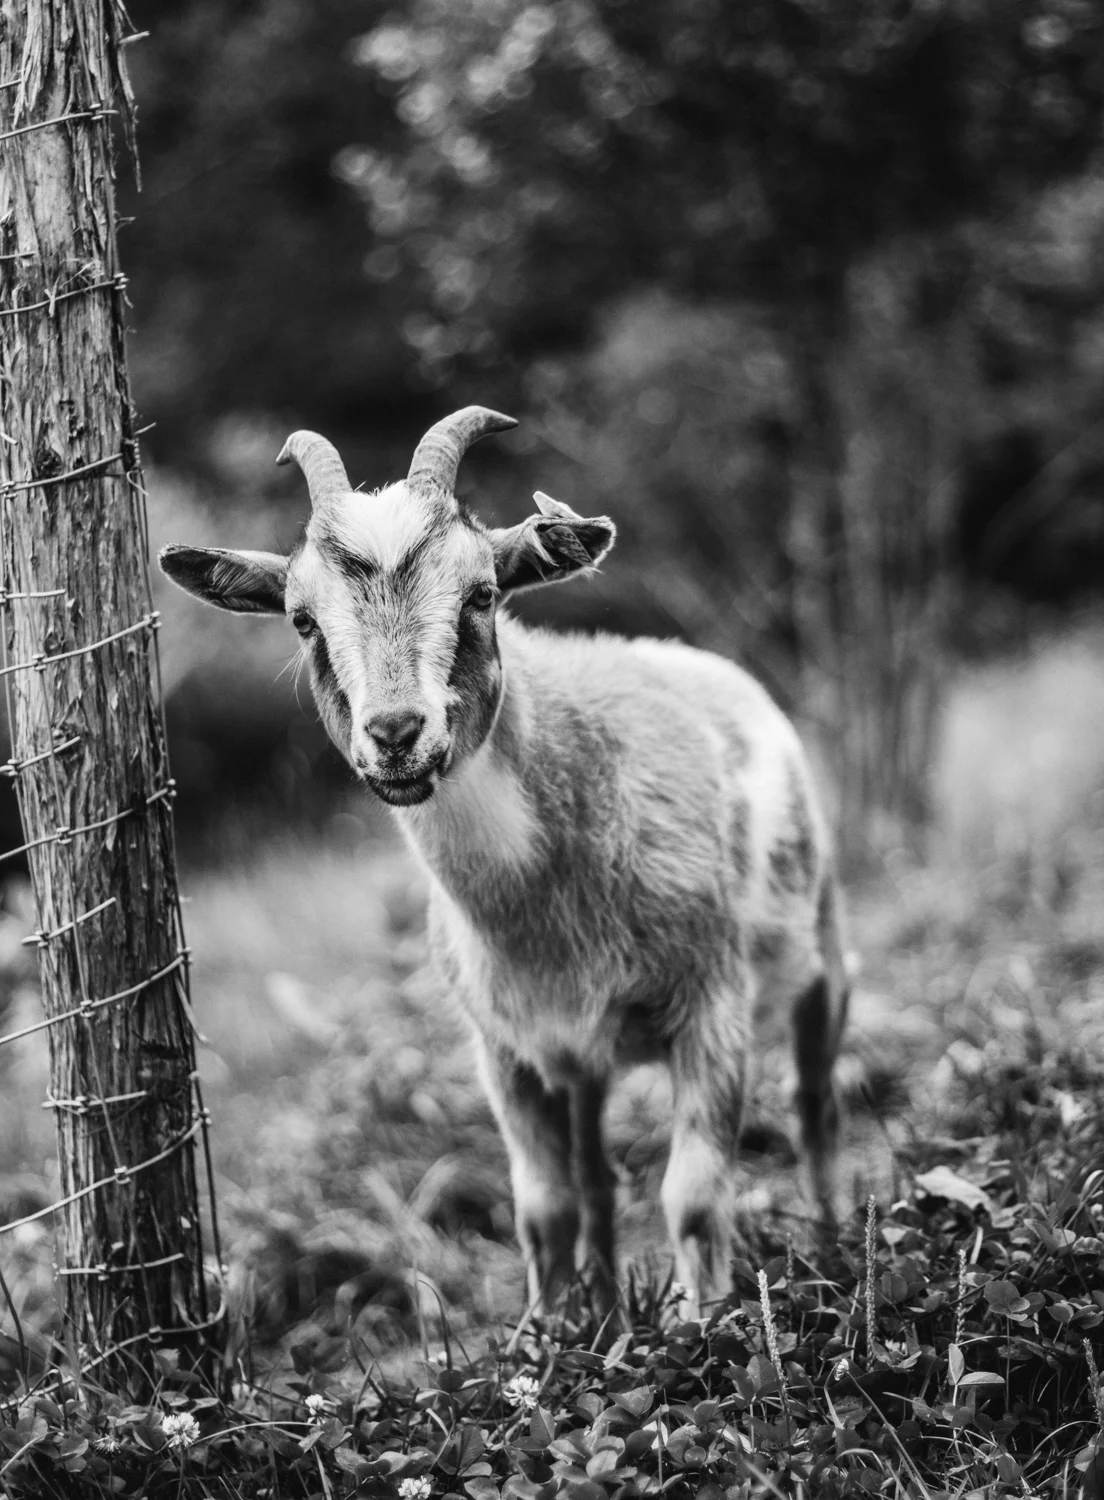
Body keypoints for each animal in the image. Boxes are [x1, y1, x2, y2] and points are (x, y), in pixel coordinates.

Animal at [159, 407, 850, 1315]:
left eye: (483, 593)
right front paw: (548, 1333)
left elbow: (695, 1196)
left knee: (817, 1106)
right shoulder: (507, 1051)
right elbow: (544, 1206)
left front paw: (707, 1325)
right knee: (596, 1178)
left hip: (821, 946)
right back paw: (608, 1309)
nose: (396, 733)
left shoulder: (711, 1005)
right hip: (582, 1060)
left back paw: (835, 1243)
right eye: (302, 620)